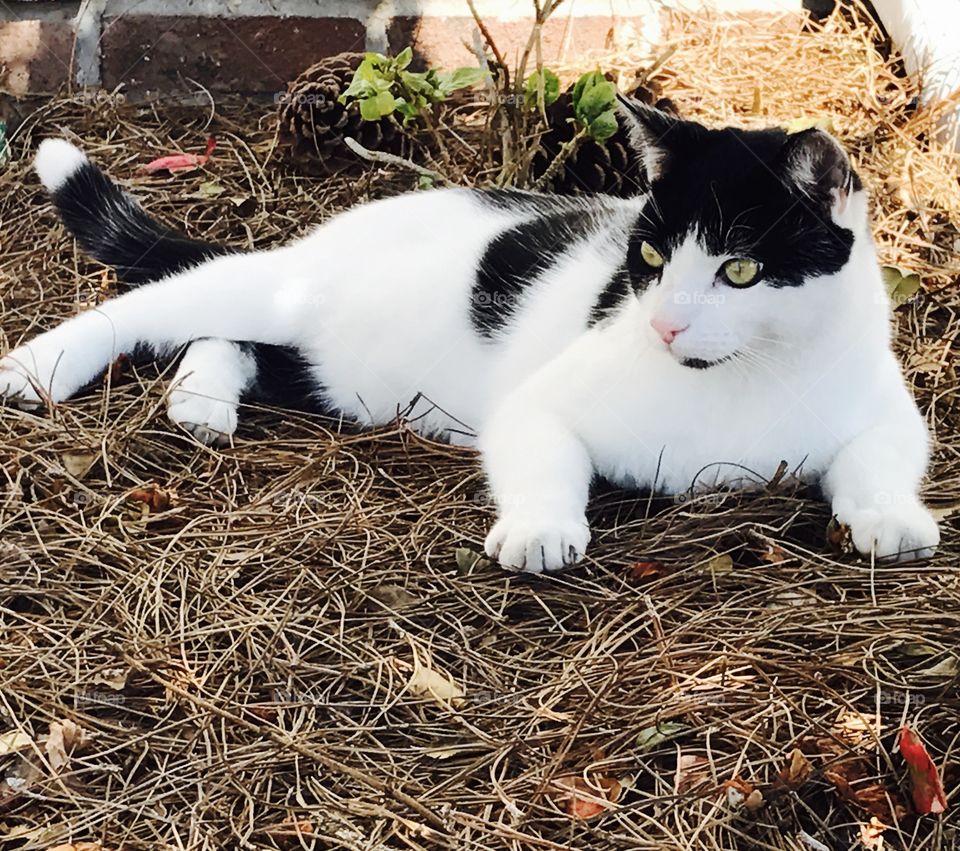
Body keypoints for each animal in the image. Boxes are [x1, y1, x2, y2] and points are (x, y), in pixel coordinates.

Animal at [0, 103, 940, 576]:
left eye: (739, 271)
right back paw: (36, 366)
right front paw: (540, 528)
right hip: (282, 292)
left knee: (225, 339)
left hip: (338, 377)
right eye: (649, 257)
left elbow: (880, 455)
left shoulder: (890, 411)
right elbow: (542, 455)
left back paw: (201, 402)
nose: (664, 320)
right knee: (164, 302)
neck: (736, 376)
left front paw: (889, 517)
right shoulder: (536, 404)